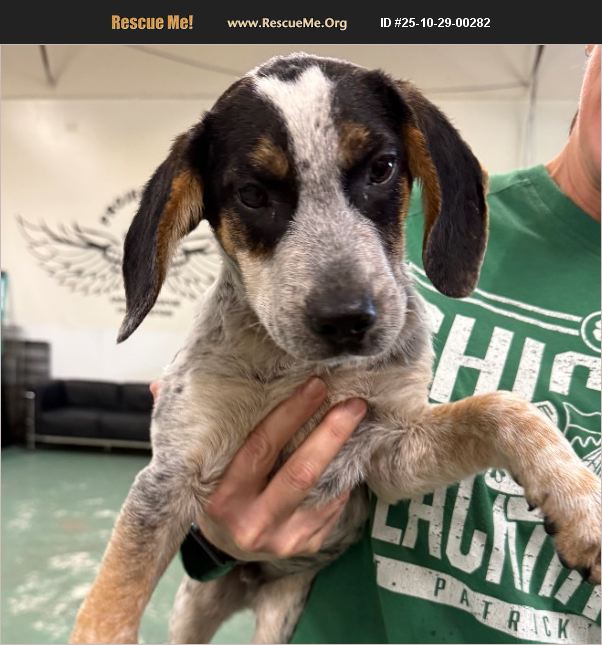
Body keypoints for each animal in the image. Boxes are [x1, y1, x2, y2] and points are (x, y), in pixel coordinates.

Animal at [71, 53, 601, 644]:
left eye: (382, 168)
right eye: (252, 194)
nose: (348, 319)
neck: (303, 370)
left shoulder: (388, 454)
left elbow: (503, 408)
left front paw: (581, 504)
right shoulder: (170, 477)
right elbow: (109, 610)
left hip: (280, 613)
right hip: (194, 605)